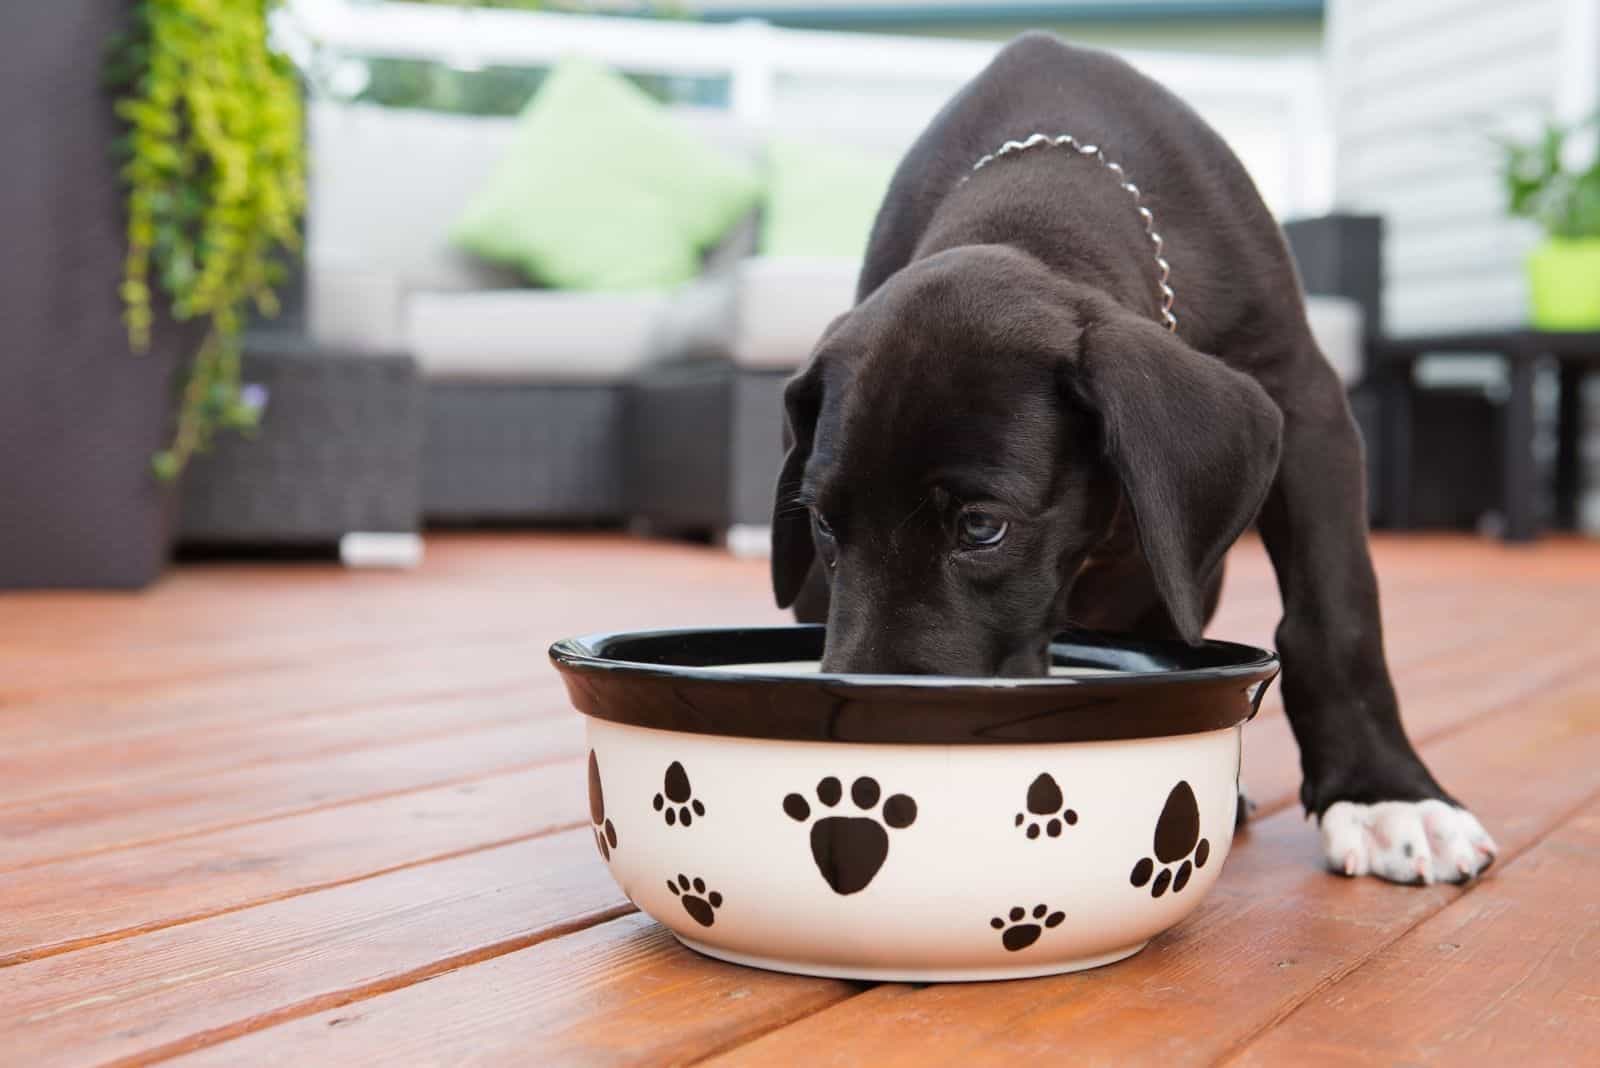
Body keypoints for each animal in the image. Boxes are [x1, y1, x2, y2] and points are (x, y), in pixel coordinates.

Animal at [768, 33, 1491, 882]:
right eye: (822, 524)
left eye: (981, 528)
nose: (867, 745)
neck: (1045, 190)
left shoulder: (1307, 405)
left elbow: (1334, 610)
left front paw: (1384, 795)